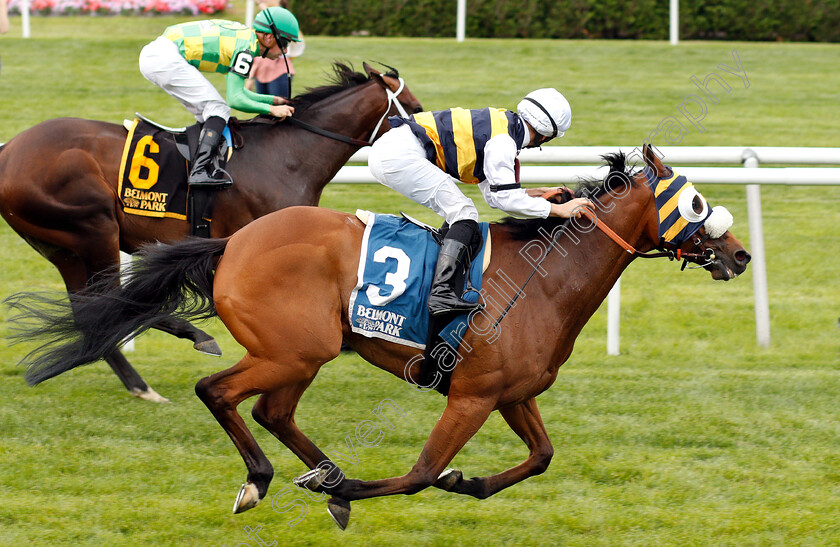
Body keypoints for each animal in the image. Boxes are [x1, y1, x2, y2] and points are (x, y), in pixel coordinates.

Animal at [0, 63, 420, 402]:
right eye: (413, 108)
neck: (286, 155)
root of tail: (9, 149)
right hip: (94, 227)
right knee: (112, 300)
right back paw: (182, 348)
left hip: (62, 245)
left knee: (90, 308)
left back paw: (141, 383)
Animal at [9, 144, 752, 528]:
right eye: (693, 202)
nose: (740, 254)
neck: (544, 279)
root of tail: (232, 242)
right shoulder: (472, 395)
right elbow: (420, 474)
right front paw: (366, 490)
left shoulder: (512, 393)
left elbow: (541, 457)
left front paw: (467, 482)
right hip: (293, 348)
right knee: (218, 390)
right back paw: (270, 479)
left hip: (302, 354)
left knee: (271, 410)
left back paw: (324, 470)